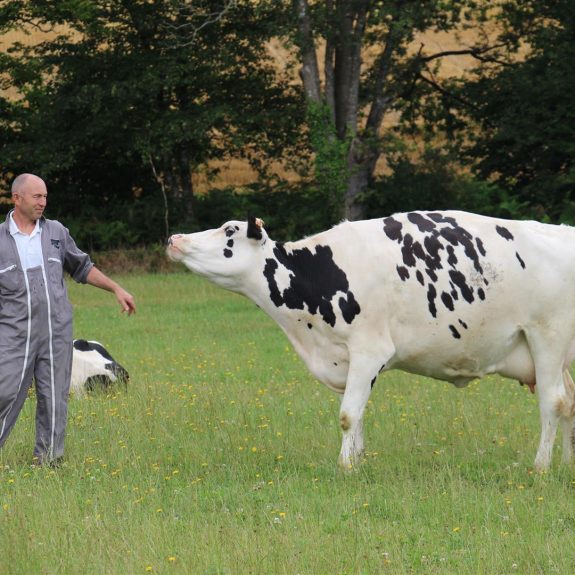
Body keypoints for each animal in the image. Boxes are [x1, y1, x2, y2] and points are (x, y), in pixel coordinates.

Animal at [166, 213, 575, 472]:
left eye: (229, 230)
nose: (174, 238)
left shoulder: (369, 349)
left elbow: (348, 414)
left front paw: (345, 467)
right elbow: (358, 414)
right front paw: (359, 462)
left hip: (547, 337)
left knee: (553, 402)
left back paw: (540, 467)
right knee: (569, 403)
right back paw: (567, 463)